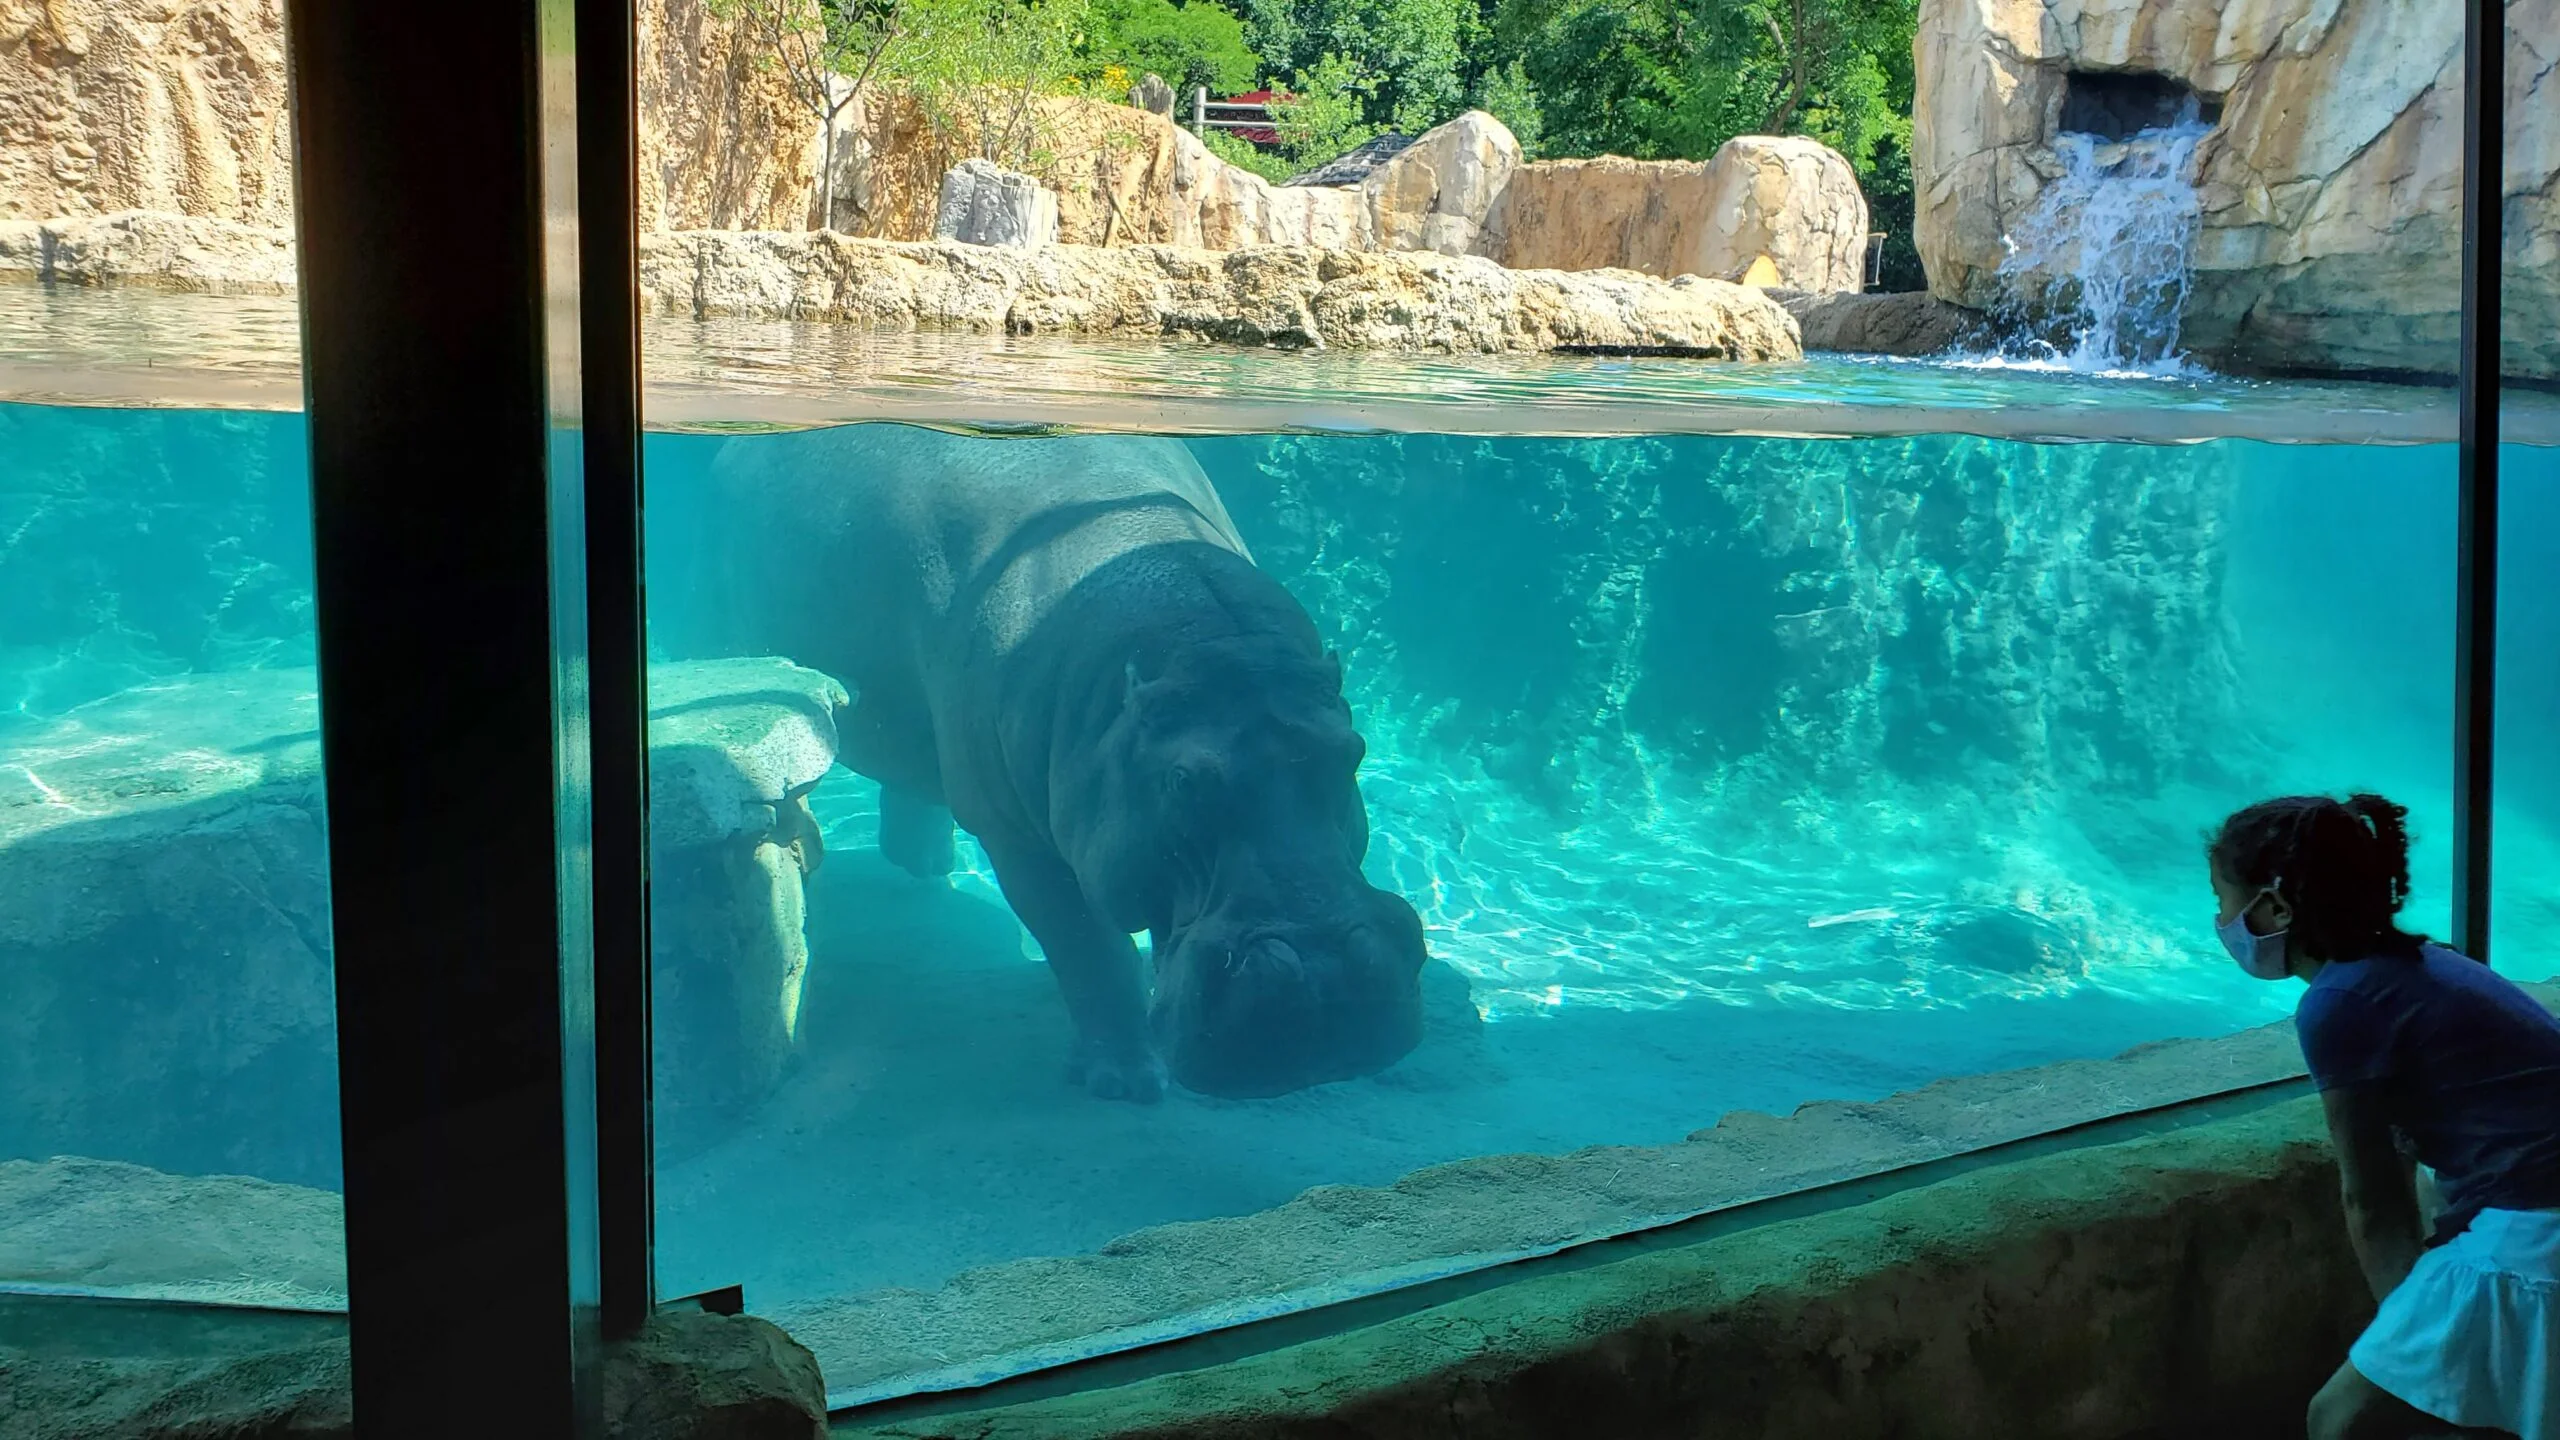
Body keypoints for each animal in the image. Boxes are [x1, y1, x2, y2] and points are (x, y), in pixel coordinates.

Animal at [659, 422, 1428, 1101]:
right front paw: (1127, 1082)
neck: (1198, 641)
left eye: (1351, 751)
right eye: (1181, 780)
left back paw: (927, 864)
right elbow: (1087, 948)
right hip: (718, 626)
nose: (1328, 981)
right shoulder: (1015, 834)